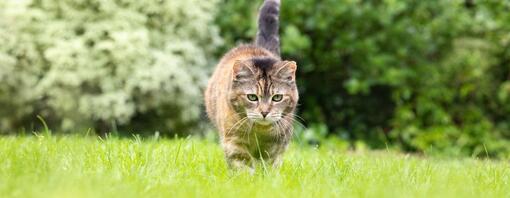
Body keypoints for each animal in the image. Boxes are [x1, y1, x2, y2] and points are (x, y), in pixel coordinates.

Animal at [204, 0, 298, 171]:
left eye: (277, 97)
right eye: (252, 97)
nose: (265, 112)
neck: (260, 131)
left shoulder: (278, 143)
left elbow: (270, 163)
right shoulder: (233, 141)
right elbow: (243, 164)